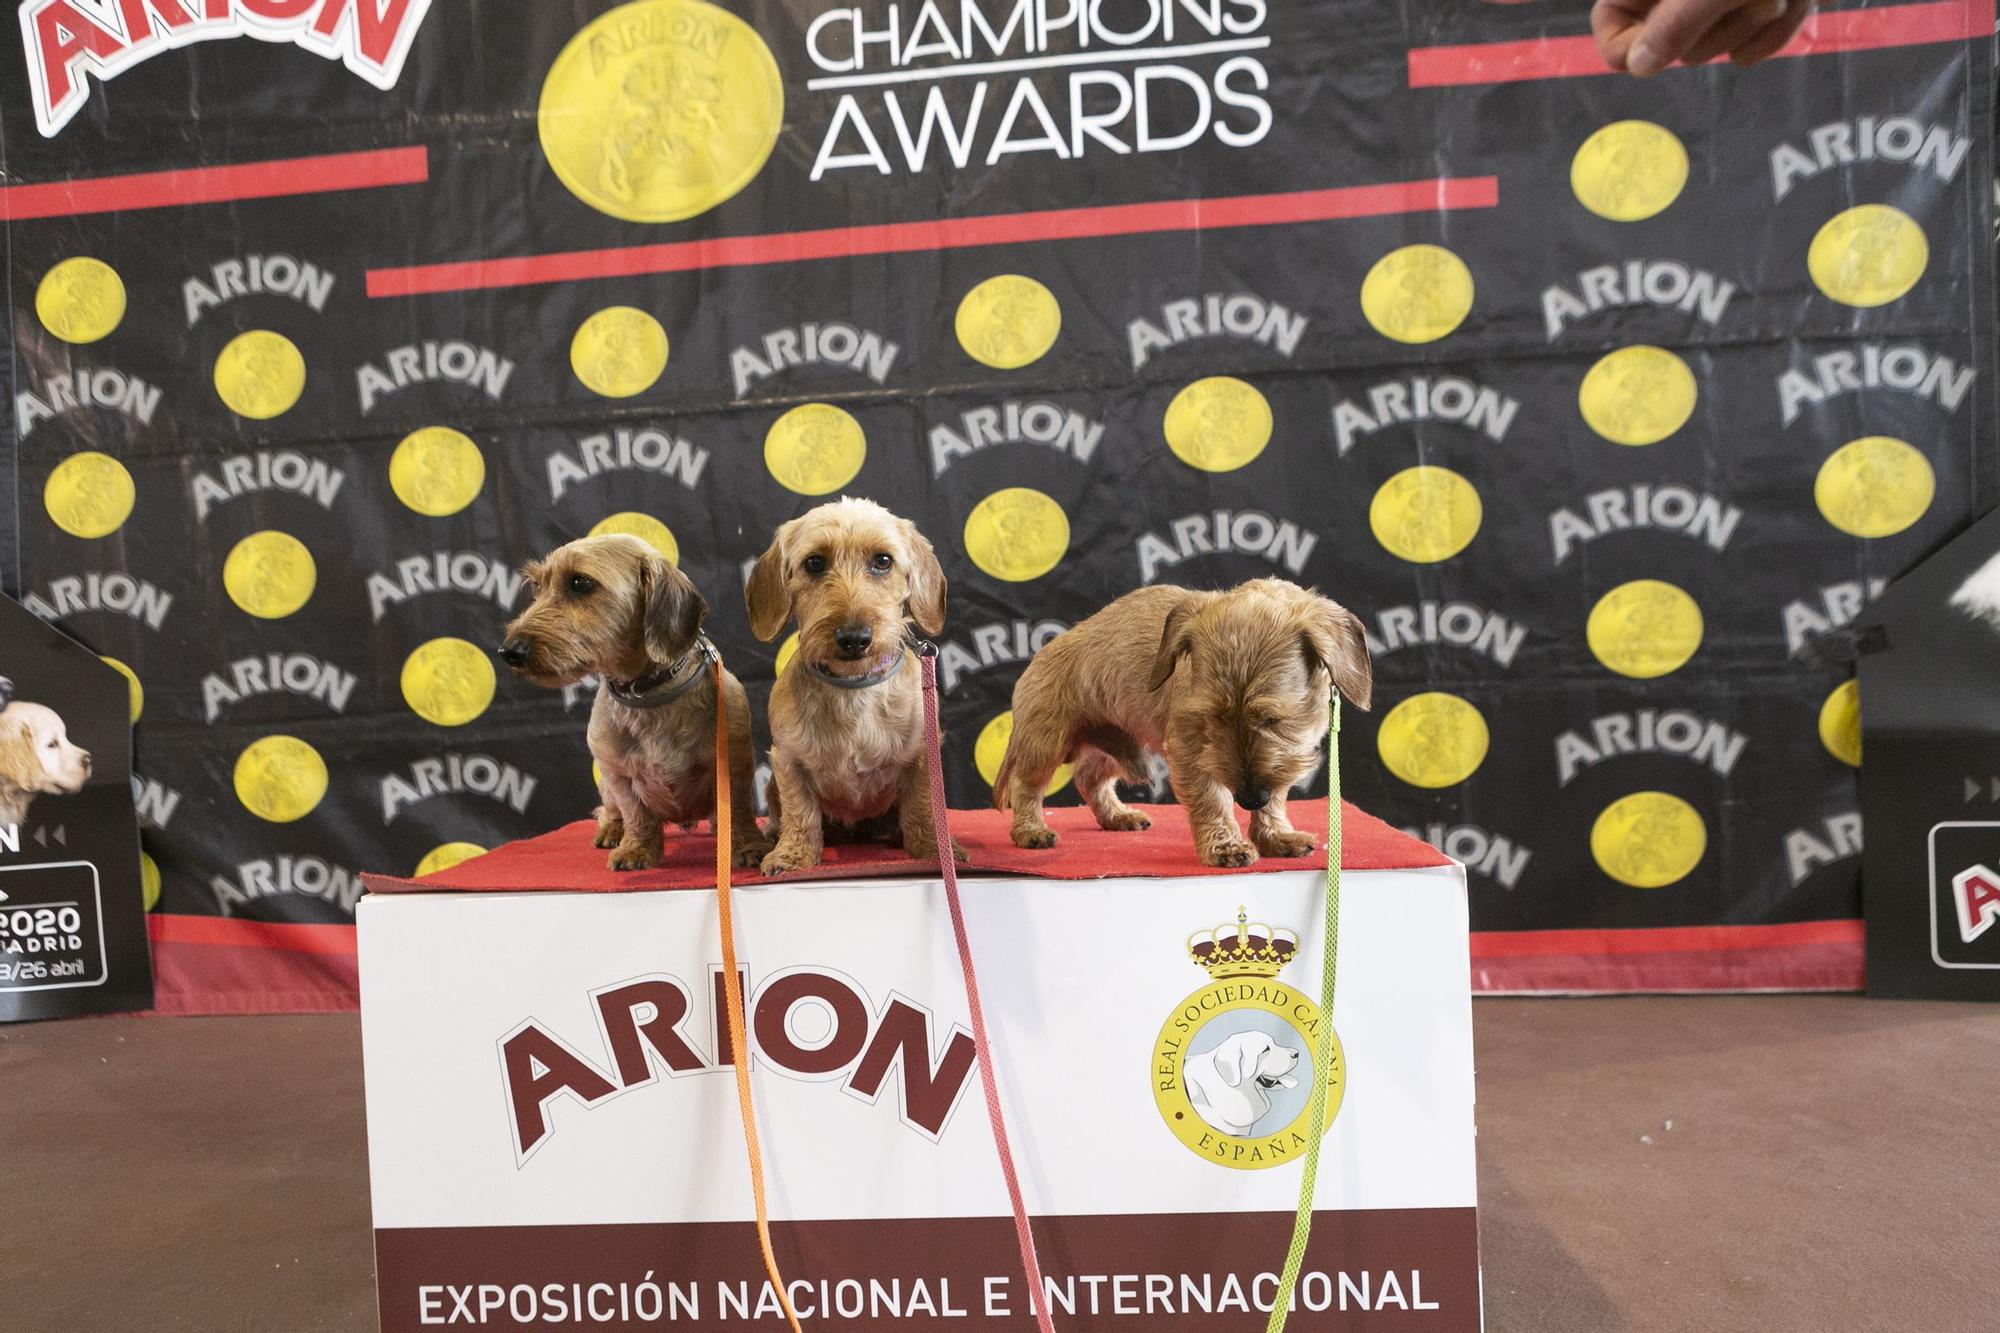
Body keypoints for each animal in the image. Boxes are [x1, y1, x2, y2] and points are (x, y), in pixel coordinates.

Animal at [500, 536, 772, 868]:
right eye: (537, 587)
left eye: (580, 583)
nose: (509, 651)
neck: (649, 693)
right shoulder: (618, 774)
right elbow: (636, 814)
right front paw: (636, 849)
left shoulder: (732, 764)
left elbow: (738, 809)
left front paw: (747, 845)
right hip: (605, 784)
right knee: (612, 811)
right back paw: (612, 832)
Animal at [752, 496, 968, 872]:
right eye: (814, 562)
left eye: (883, 561)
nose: (854, 638)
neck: (853, 688)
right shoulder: (788, 761)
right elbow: (799, 812)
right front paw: (792, 853)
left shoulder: (922, 757)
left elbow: (923, 807)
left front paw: (932, 848)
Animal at [988, 576, 1368, 868]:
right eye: (1213, 715)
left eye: (1272, 719)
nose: (1249, 799)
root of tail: (1043, 653)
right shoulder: (1192, 753)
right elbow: (1211, 798)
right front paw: (1225, 845)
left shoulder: (1280, 761)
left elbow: (1275, 794)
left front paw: (1275, 836)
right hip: (1045, 741)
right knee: (1026, 785)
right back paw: (1030, 829)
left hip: (1116, 742)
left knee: (1089, 778)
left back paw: (1117, 815)